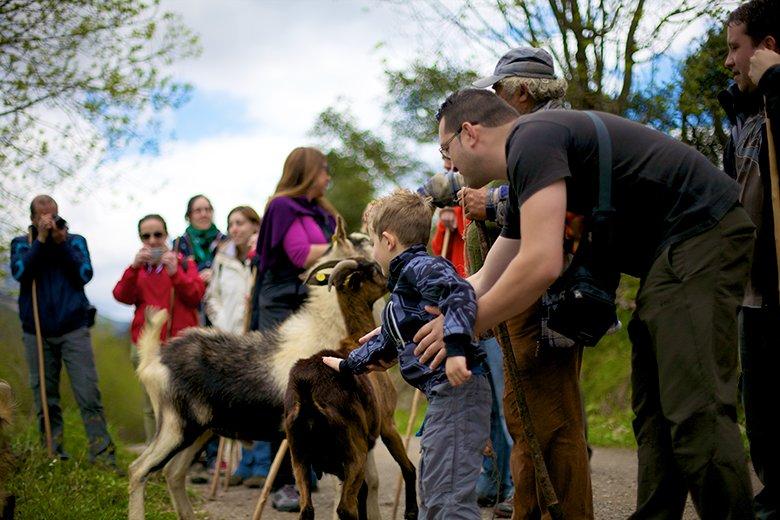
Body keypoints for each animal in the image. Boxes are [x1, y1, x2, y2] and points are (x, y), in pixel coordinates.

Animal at [286, 260, 420, 520]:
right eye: (372, 270)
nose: (390, 280)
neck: (356, 338)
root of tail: (308, 397)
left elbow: (365, 491)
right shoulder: (387, 425)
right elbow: (408, 468)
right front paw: (411, 512)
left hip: (299, 459)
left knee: (307, 510)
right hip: (352, 452)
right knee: (345, 509)